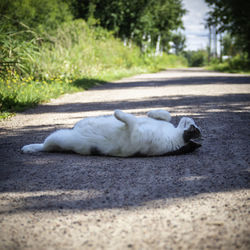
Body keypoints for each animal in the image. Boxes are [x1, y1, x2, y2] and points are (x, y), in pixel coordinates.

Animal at [21, 109, 201, 156]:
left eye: (193, 127)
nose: (190, 117)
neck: (174, 136)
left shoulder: (134, 135)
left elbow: (127, 118)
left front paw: (117, 113)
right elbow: (165, 115)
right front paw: (153, 112)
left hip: (58, 137)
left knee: (45, 146)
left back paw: (28, 148)